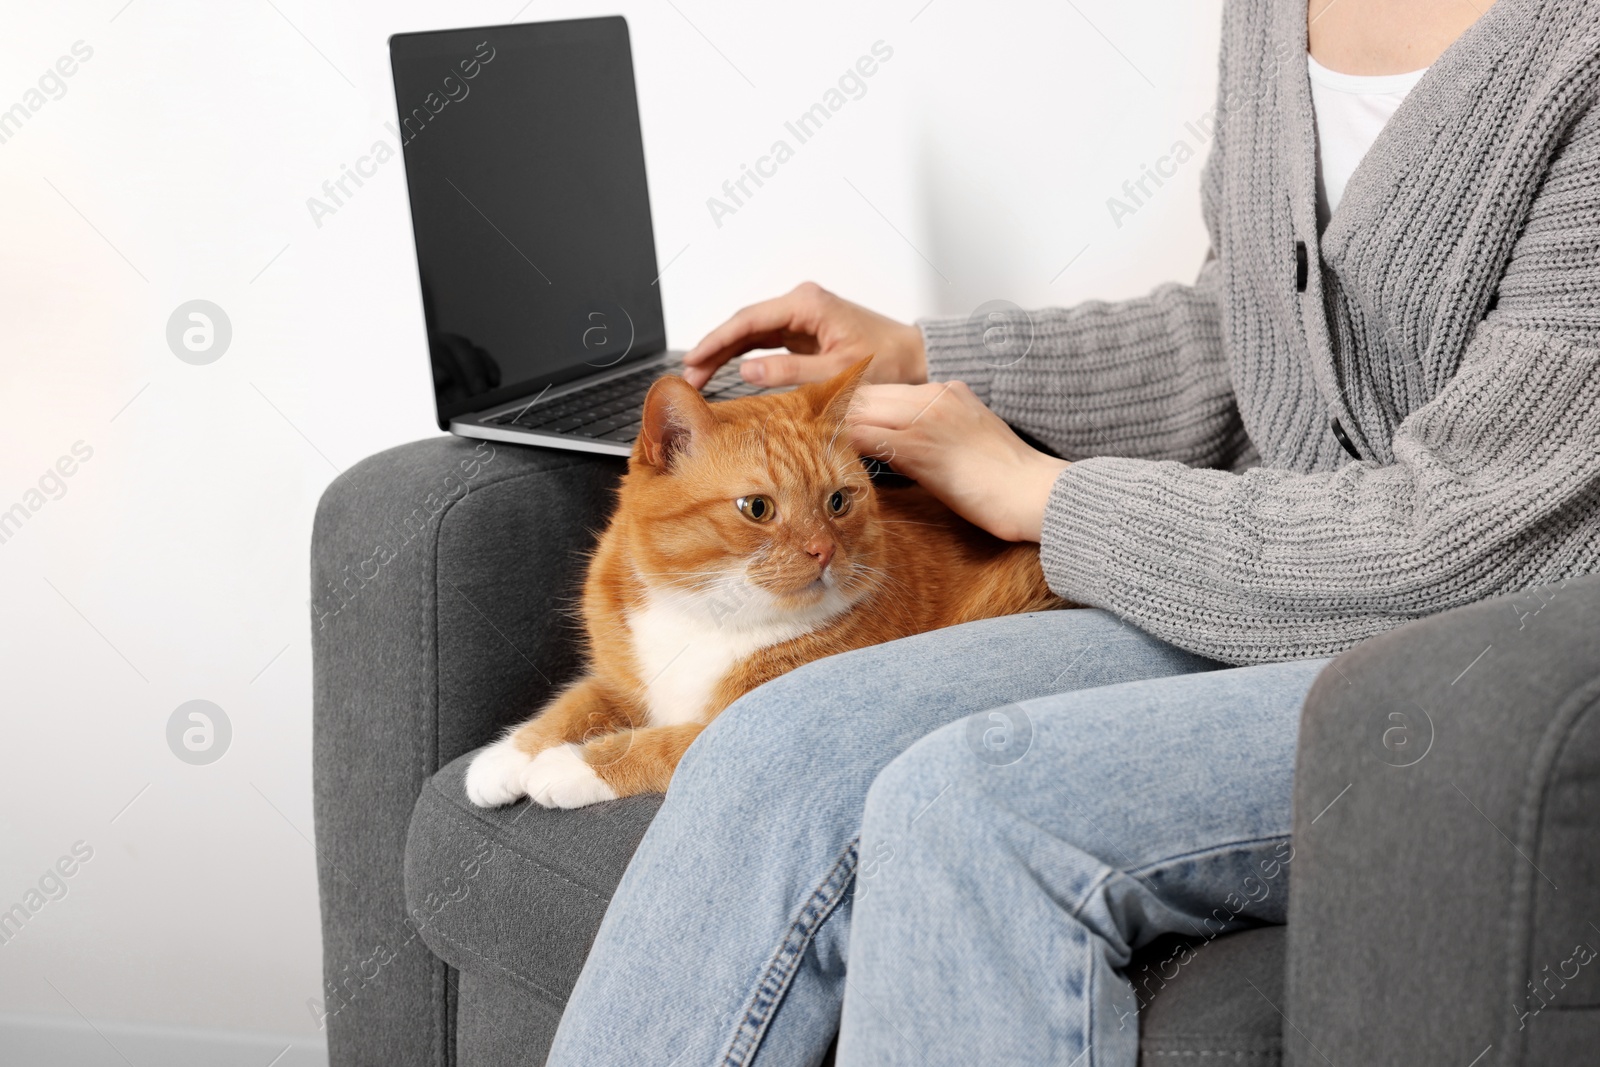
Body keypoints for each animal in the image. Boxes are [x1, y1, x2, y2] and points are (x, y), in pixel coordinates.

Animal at [467, 358, 1062, 809]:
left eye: (838, 501)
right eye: (757, 508)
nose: (823, 550)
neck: (706, 616)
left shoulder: (727, 727)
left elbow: (659, 744)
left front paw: (567, 766)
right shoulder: (621, 679)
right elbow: (571, 704)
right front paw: (505, 759)